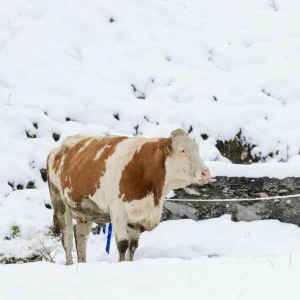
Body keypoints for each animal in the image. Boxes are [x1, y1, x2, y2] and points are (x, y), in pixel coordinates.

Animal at [46, 127, 211, 264]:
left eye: (197, 149)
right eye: (182, 150)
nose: (206, 173)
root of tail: (57, 149)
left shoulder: (138, 215)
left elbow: (133, 246)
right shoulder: (118, 212)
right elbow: (122, 244)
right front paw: (122, 265)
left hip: (85, 211)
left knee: (81, 237)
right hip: (59, 203)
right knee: (67, 237)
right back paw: (69, 264)